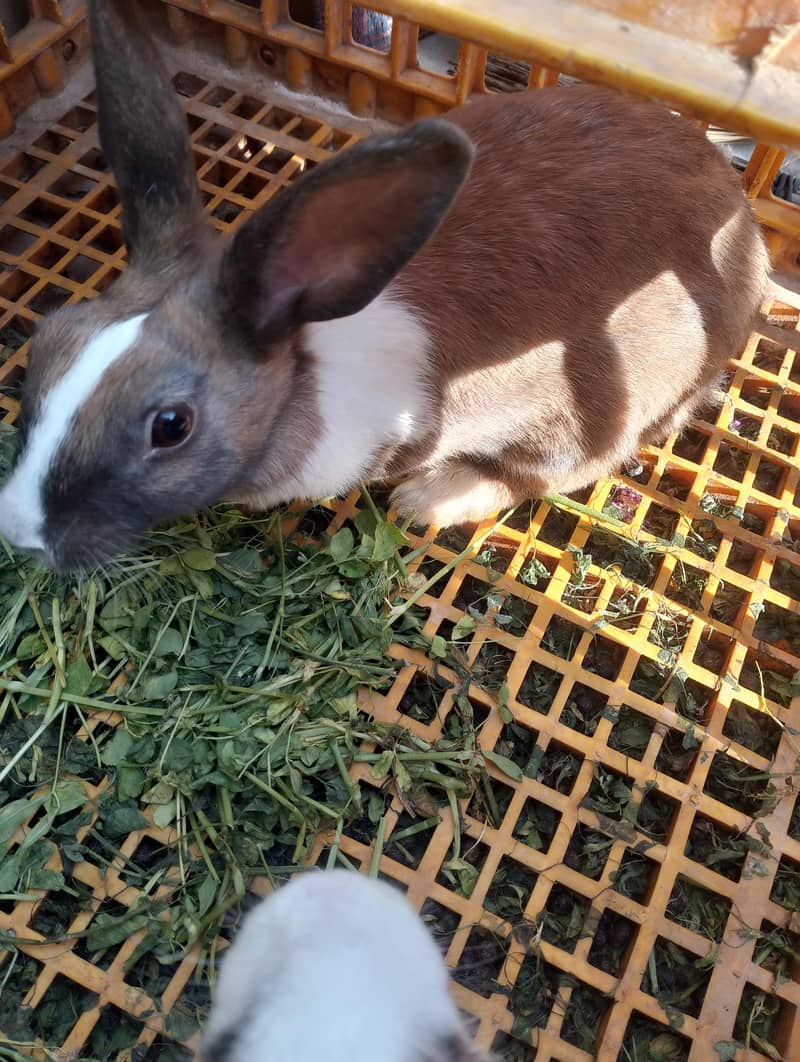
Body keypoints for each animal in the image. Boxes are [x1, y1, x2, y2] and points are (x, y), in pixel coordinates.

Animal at [0, 0, 769, 571]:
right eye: (46, 339)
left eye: (171, 427)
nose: (19, 532)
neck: (304, 364)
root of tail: (750, 243)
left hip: (599, 411)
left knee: (551, 472)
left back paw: (427, 498)